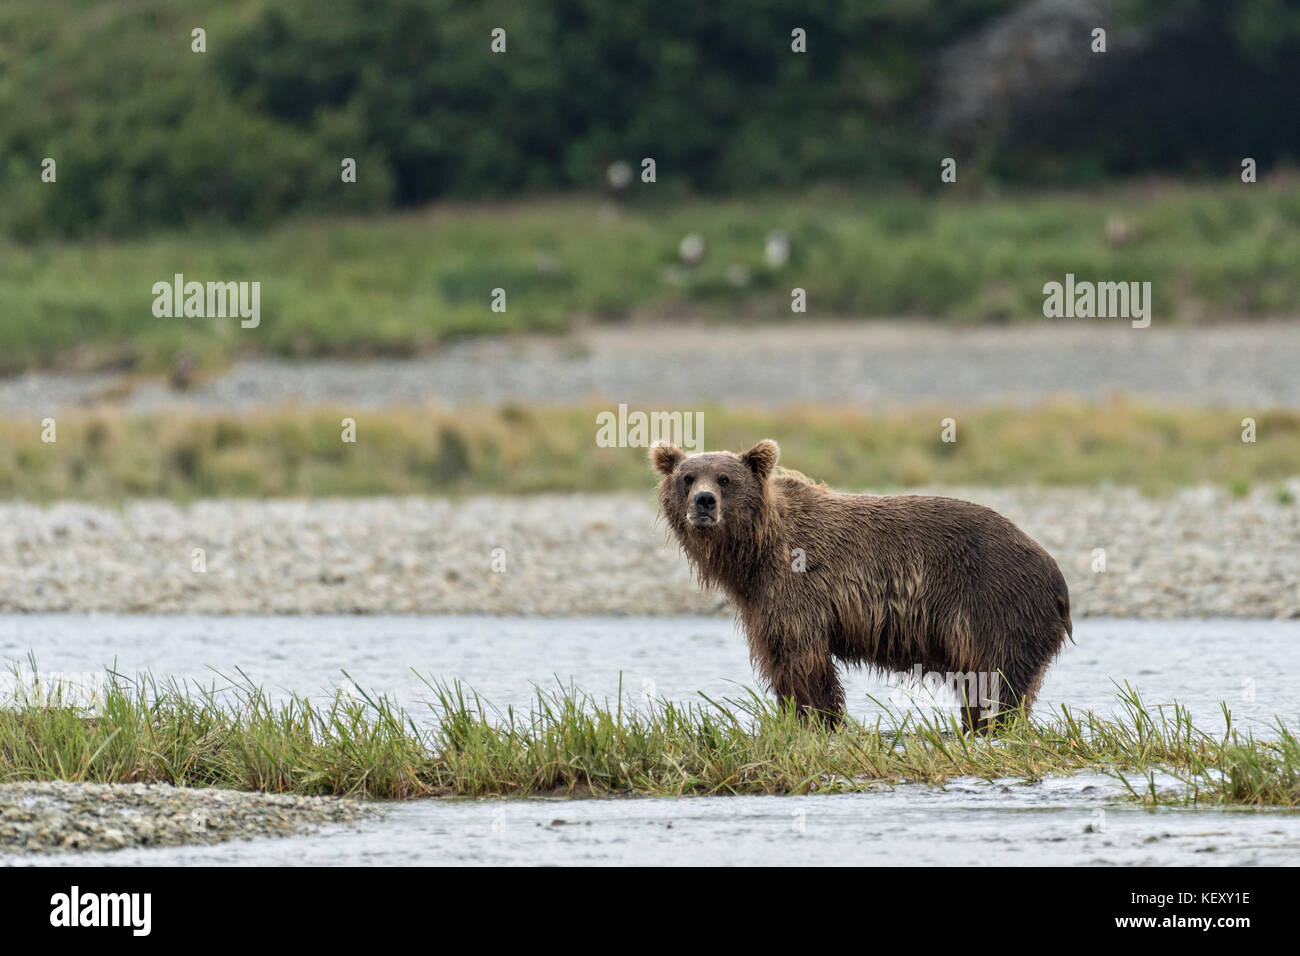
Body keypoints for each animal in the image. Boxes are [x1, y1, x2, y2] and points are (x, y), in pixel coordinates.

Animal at [651, 439, 1072, 733]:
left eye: (725, 479)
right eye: (687, 478)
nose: (704, 502)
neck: (753, 554)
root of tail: (1054, 570)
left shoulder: (798, 588)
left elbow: (802, 657)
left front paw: (818, 720)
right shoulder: (760, 601)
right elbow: (779, 659)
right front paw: (800, 718)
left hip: (992, 601)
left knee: (994, 676)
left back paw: (988, 726)